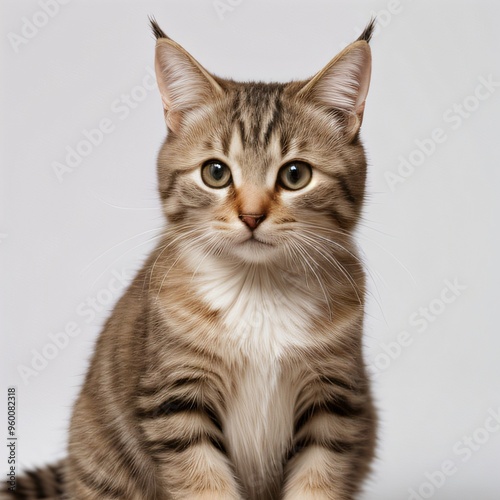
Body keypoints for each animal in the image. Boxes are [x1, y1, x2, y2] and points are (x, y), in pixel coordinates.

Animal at [3, 17, 376, 500]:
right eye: (215, 172)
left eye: (296, 175)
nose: (251, 215)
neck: (258, 288)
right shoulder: (175, 399)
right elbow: (203, 482)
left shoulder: (334, 402)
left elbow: (318, 479)